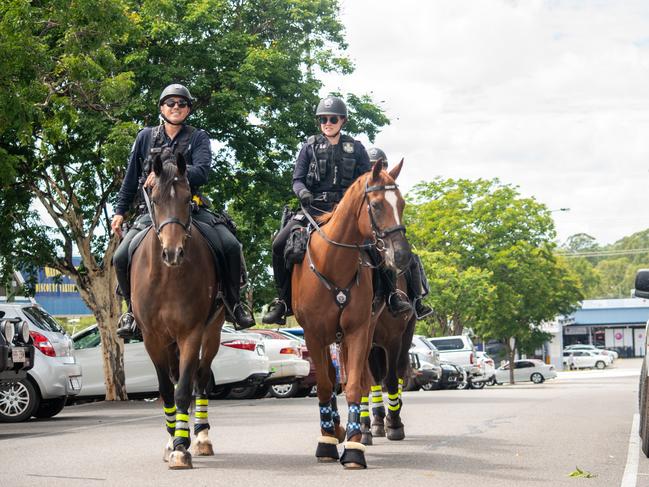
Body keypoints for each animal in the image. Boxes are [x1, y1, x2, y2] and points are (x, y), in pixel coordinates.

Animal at [129, 148, 225, 468]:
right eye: (155, 198)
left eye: (186, 199)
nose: (173, 252)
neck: (167, 276)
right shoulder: (153, 338)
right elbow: (166, 390)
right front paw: (172, 441)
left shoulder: (191, 333)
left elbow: (184, 389)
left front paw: (183, 447)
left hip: (212, 331)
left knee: (201, 377)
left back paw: (202, 437)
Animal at [292, 160, 410, 468]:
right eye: (377, 205)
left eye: (402, 203)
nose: (402, 256)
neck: (333, 263)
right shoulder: (313, 335)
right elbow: (324, 386)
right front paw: (326, 443)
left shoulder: (358, 332)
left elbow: (357, 385)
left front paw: (355, 447)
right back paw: (336, 429)